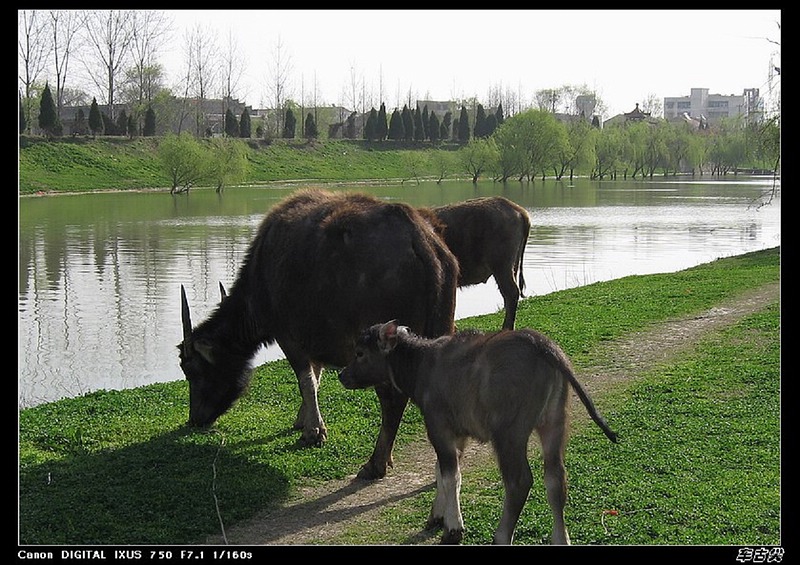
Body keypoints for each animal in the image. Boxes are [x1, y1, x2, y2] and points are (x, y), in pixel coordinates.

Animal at [179, 187, 460, 478]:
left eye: (191, 369)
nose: (195, 418)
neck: (262, 273)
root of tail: (419, 238)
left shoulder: (289, 337)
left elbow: (306, 380)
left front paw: (313, 431)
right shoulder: (315, 339)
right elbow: (316, 376)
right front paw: (302, 419)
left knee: (392, 400)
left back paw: (376, 463)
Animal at [338, 320, 620, 544]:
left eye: (360, 353)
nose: (342, 375)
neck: (421, 366)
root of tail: (543, 346)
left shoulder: (439, 428)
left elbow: (450, 475)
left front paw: (453, 528)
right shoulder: (459, 434)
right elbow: (443, 472)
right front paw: (437, 516)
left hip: (509, 434)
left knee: (519, 482)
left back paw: (501, 536)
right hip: (554, 422)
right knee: (555, 479)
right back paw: (561, 539)